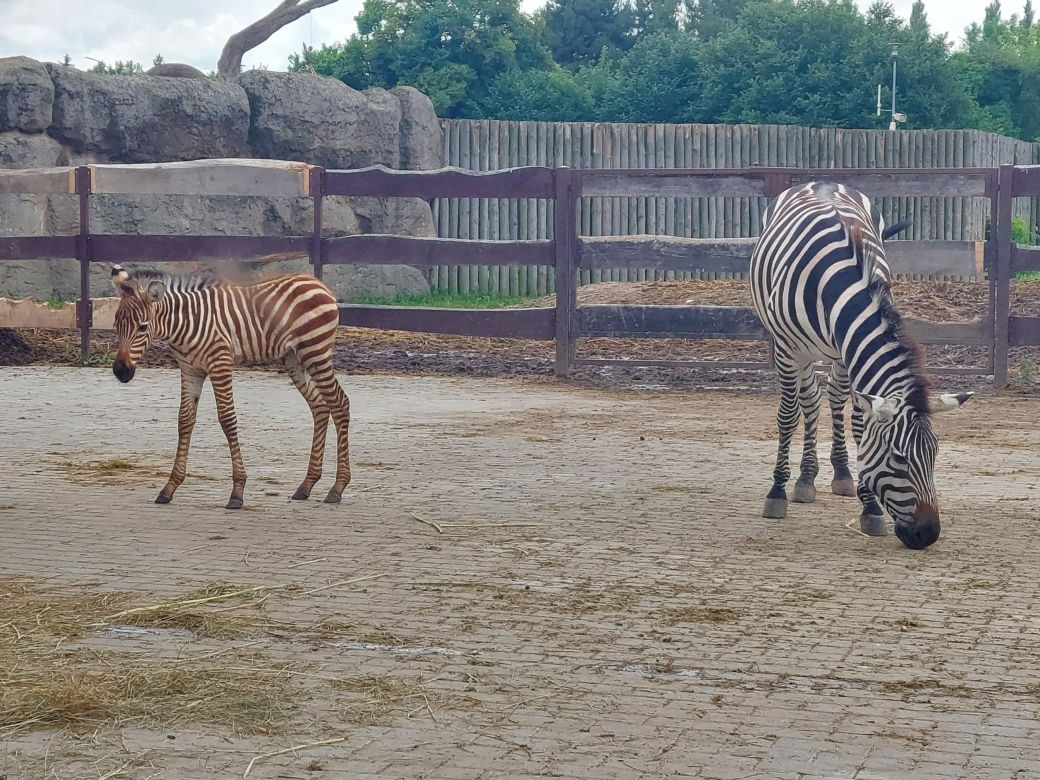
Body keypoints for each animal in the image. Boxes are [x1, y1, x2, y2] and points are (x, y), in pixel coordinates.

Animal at [110, 265, 350, 509]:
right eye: (116, 324)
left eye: (142, 327)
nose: (121, 372)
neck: (186, 324)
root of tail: (317, 283)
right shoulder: (190, 370)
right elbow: (184, 421)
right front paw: (170, 487)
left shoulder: (220, 364)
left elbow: (227, 420)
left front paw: (237, 491)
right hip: (294, 359)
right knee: (320, 407)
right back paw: (307, 484)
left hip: (315, 352)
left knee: (340, 403)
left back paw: (338, 487)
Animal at [749, 182, 971, 550]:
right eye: (898, 457)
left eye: (935, 454)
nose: (928, 535)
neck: (835, 284)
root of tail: (820, 182)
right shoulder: (787, 349)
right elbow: (788, 416)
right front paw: (776, 492)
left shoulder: (849, 350)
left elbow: (857, 421)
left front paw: (869, 507)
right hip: (800, 350)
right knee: (809, 400)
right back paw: (804, 479)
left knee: (831, 397)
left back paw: (838, 474)